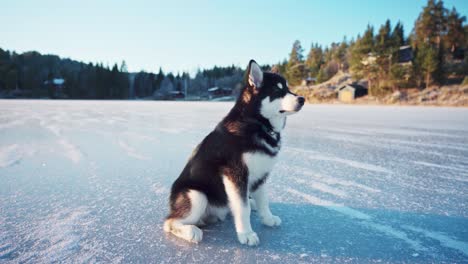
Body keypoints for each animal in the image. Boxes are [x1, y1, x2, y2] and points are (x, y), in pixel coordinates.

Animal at [163, 59, 306, 245]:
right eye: (277, 90)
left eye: (288, 89)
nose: (302, 99)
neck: (257, 124)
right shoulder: (236, 174)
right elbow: (243, 208)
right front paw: (246, 233)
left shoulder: (261, 175)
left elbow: (263, 201)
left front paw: (268, 218)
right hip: (197, 196)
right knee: (169, 222)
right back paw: (190, 231)